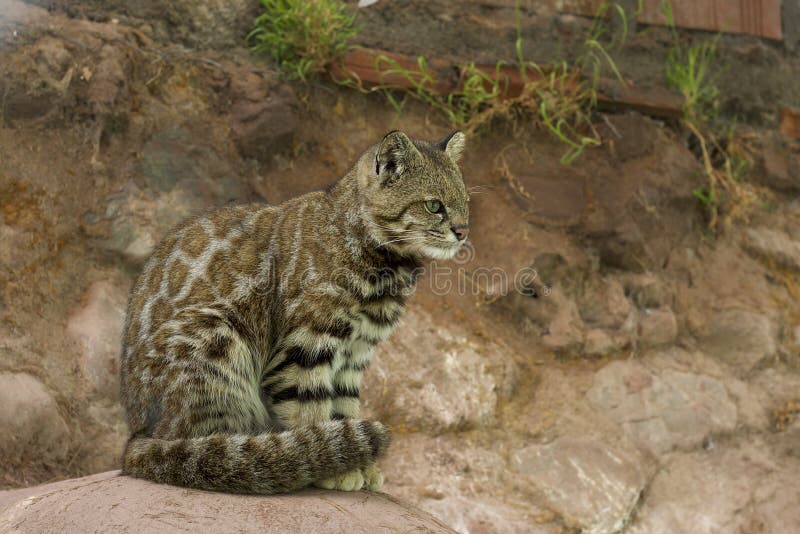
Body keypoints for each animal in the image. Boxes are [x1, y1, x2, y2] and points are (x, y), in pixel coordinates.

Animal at [119, 130, 468, 494]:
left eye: (465, 202)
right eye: (434, 205)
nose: (463, 231)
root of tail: (135, 436)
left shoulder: (355, 353)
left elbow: (344, 407)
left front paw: (356, 462)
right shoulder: (306, 347)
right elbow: (309, 408)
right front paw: (330, 464)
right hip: (217, 338)